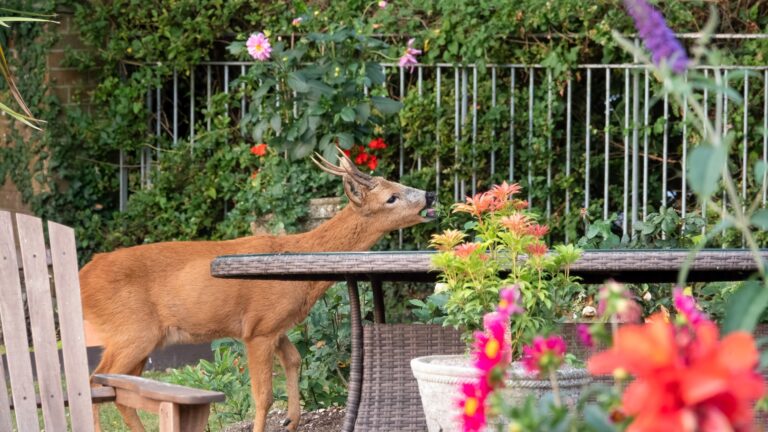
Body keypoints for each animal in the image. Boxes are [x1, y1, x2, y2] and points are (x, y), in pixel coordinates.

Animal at [78, 149, 437, 432]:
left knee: (121, 390)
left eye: (397, 184)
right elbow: (263, 396)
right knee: (96, 380)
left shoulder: (277, 327)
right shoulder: (258, 328)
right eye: (391, 198)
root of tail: (84, 276)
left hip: (143, 340)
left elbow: (294, 360)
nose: (430, 195)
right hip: (131, 331)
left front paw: (292, 421)